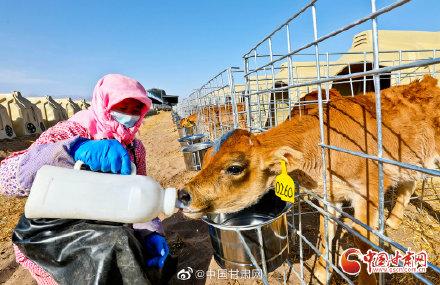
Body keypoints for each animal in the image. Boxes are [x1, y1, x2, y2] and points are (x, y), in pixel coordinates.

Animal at [179, 76, 440, 284]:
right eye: (206, 158)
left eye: (234, 168)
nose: (183, 194)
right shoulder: (329, 196)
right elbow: (326, 234)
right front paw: (321, 274)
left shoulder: (369, 194)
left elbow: (364, 242)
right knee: (410, 182)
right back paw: (394, 221)